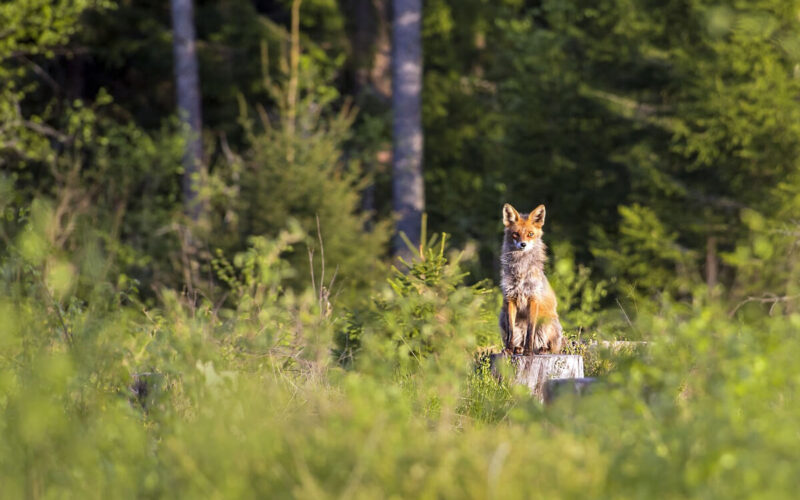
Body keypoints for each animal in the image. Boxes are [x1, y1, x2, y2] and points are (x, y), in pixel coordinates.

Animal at [496, 203, 564, 356]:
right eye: (515, 234)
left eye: (530, 234)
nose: (523, 244)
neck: (521, 271)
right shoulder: (510, 298)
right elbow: (511, 332)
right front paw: (509, 350)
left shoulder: (533, 299)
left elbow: (530, 331)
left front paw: (528, 352)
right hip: (502, 317)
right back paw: (517, 348)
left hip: (547, 323)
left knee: (550, 347)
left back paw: (541, 349)